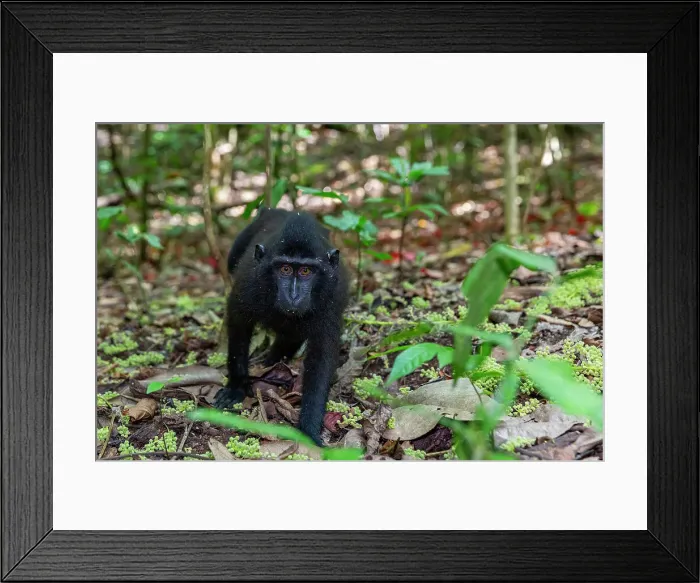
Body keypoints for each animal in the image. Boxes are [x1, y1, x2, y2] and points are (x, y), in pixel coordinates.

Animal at [214, 207, 349, 445]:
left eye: (306, 271)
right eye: (285, 269)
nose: (293, 296)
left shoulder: (330, 299)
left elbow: (322, 357)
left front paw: (309, 429)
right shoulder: (249, 286)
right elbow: (238, 326)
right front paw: (236, 386)